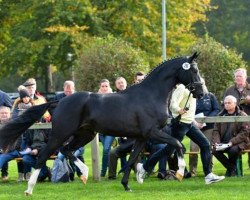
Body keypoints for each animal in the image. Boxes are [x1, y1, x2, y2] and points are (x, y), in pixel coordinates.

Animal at [0, 52, 203, 195]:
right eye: (193, 70)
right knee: (44, 154)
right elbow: (177, 144)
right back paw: (29, 189)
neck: (151, 95)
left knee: (67, 150)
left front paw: (129, 184)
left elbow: (132, 159)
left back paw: (84, 174)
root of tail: (59, 101)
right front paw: (179, 172)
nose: (201, 92)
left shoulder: (141, 137)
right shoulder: (152, 132)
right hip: (61, 134)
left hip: (84, 134)